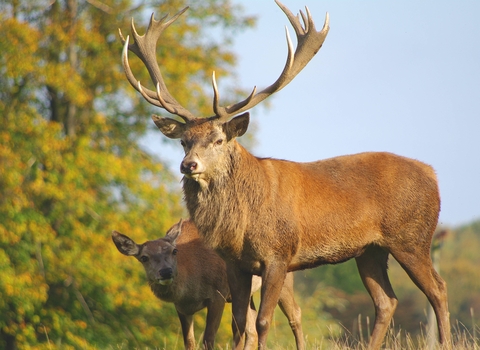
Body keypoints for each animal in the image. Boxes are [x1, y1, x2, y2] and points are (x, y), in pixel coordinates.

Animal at [111, 219, 304, 350]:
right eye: (144, 257)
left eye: (174, 251)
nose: (166, 272)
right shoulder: (181, 307)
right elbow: (189, 342)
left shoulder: (218, 294)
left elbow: (208, 338)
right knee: (251, 330)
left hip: (283, 275)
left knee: (295, 314)